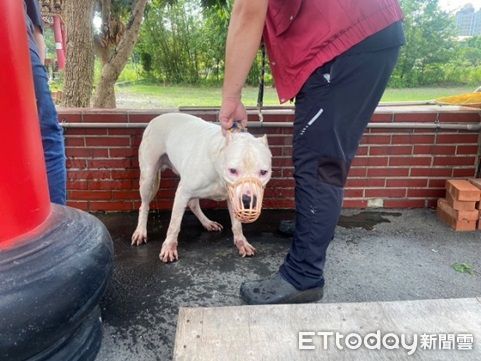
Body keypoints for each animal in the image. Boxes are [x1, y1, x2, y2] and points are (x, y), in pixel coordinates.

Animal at [131, 112, 272, 262]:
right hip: (148, 177)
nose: (247, 200)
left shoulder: (233, 198)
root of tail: (158, 117)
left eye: (264, 172)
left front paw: (241, 242)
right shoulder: (182, 193)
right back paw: (140, 231)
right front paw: (169, 247)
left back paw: (207, 223)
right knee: (144, 205)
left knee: (193, 204)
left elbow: (237, 225)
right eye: (232, 170)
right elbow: (174, 224)